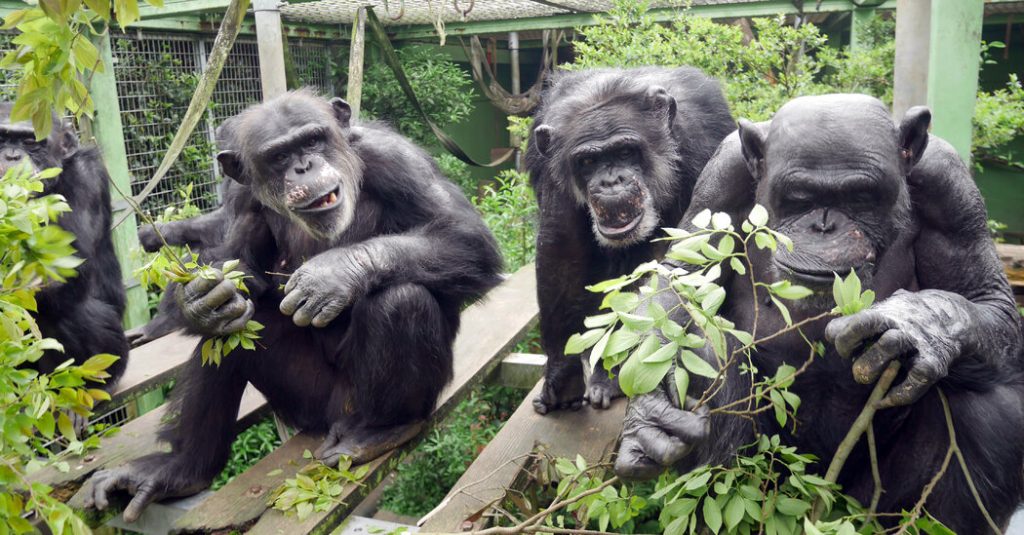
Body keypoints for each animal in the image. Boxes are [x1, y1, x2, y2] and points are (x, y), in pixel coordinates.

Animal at [0, 101, 130, 383]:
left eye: (31, 142)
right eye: (1, 139)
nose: (12, 156)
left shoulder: (85, 178)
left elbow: (59, 268)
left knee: (73, 312)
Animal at [82, 89, 499, 518]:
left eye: (312, 140)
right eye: (279, 156)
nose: (304, 166)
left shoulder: (396, 158)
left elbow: (464, 235)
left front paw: (332, 275)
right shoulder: (240, 195)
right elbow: (234, 261)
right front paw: (199, 299)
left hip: (357, 404)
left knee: (403, 300)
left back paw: (379, 431)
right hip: (305, 403)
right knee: (230, 335)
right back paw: (179, 468)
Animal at [528, 67, 737, 412]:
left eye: (625, 152)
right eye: (587, 162)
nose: (611, 181)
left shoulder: (702, 143)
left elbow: (689, 250)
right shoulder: (552, 170)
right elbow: (561, 250)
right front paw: (562, 374)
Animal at [614, 94, 1024, 528]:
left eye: (859, 197)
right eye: (801, 199)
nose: (824, 226)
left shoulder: (950, 188)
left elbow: (987, 297)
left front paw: (917, 324)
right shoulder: (721, 177)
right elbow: (683, 278)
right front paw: (650, 413)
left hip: (866, 503)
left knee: (990, 404)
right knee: (706, 352)